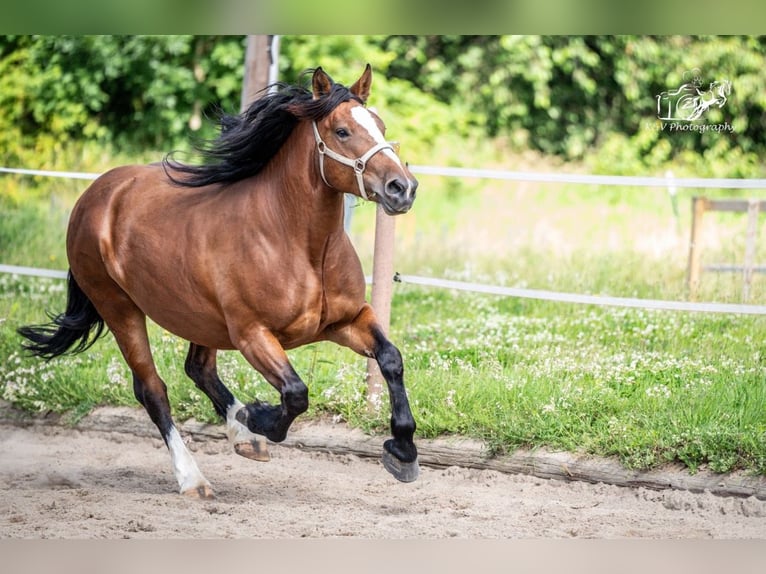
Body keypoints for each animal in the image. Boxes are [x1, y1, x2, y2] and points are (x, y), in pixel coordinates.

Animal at [18, 65, 424, 500]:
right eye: (342, 131)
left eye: (380, 125)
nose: (402, 188)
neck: (298, 243)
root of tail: (94, 195)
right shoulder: (252, 335)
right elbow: (295, 394)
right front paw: (259, 416)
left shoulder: (344, 321)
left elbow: (391, 359)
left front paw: (402, 452)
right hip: (119, 308)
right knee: (152, 390)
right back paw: (194, 478)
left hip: (201, 319)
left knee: (198, 370)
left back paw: (244, 437)